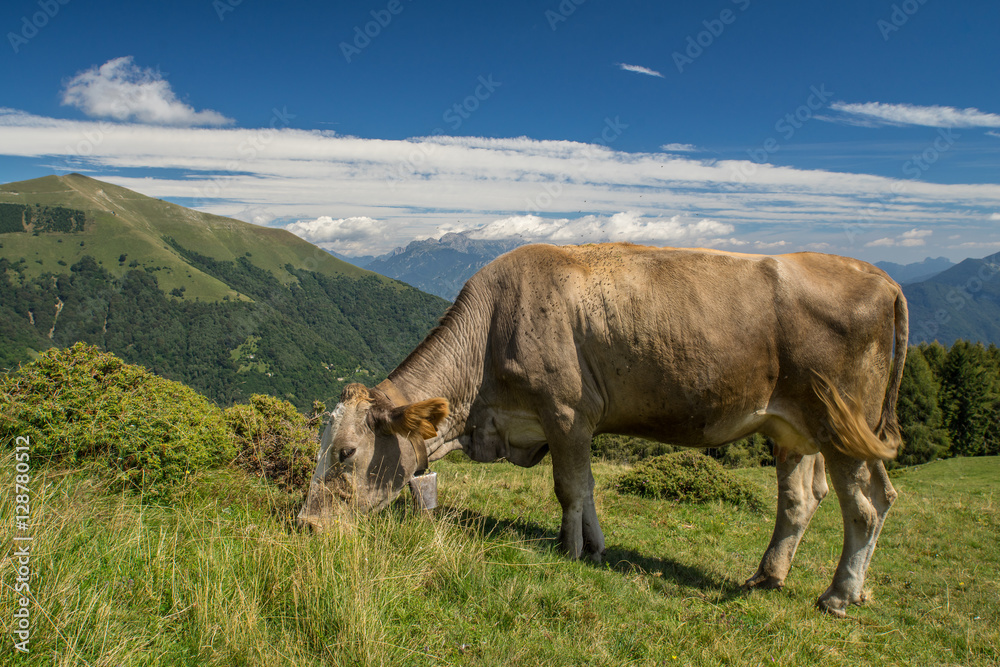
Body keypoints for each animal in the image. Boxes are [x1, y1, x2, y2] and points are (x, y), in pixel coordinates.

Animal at [298, 243, 908, 617]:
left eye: (346, 452)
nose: (304, 524)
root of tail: (881, 277)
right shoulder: (569, 422)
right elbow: (588, 490)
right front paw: (595, 545)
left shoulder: (567, 412)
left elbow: (570, 487)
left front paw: (569, 550)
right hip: (792, 428)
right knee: (806, 499)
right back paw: (769, 576)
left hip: (841, 424)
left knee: (865, 505)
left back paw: (838, 595)